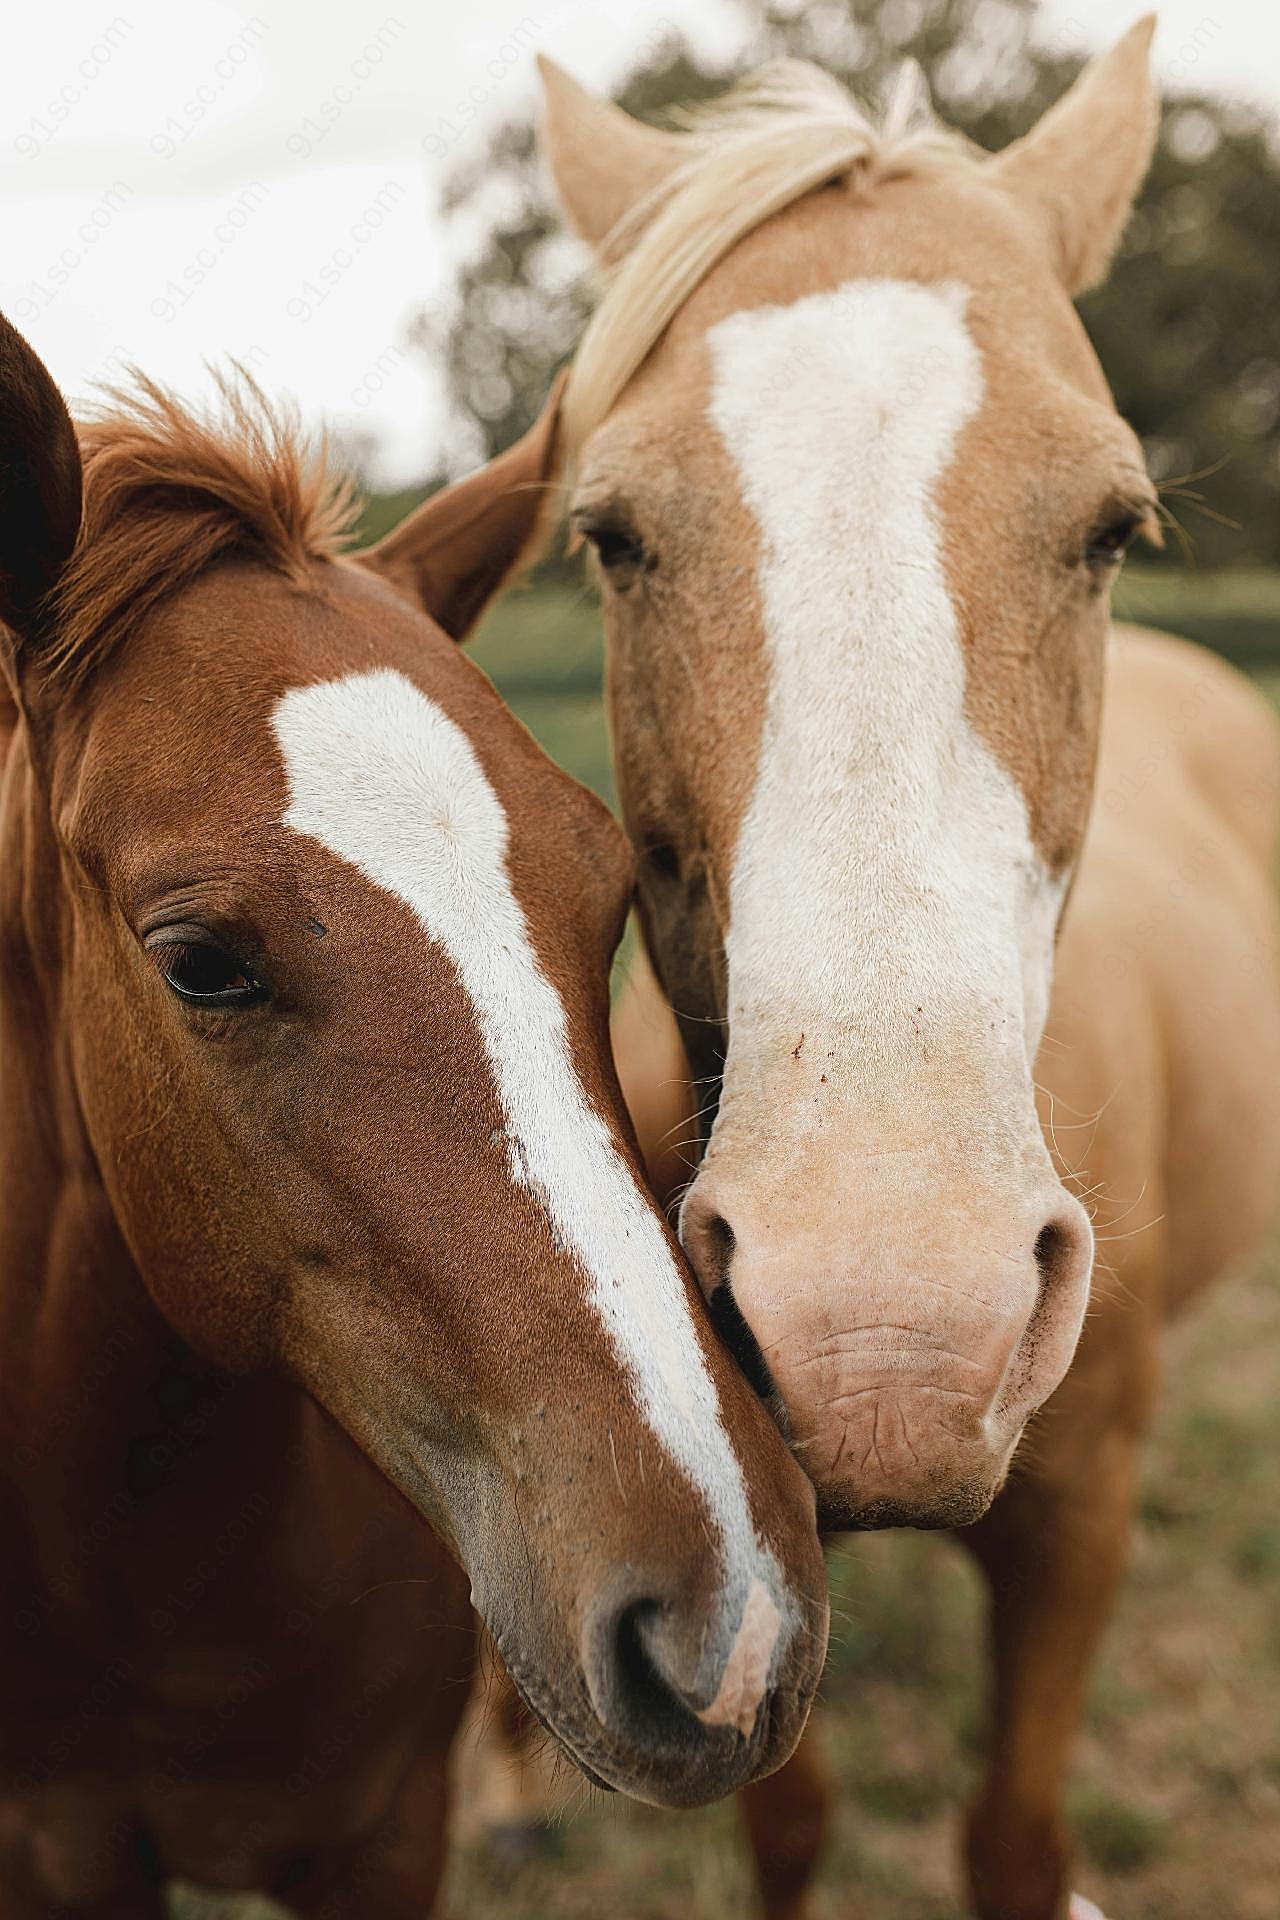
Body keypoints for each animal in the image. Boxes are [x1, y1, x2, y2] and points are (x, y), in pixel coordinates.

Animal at [537, 18, 1280, 1920]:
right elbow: (787, 1827)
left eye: (1113, 526)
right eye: (610, 536)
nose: (890, 1342)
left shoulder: (1081, 1522)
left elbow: (1012, 1841)